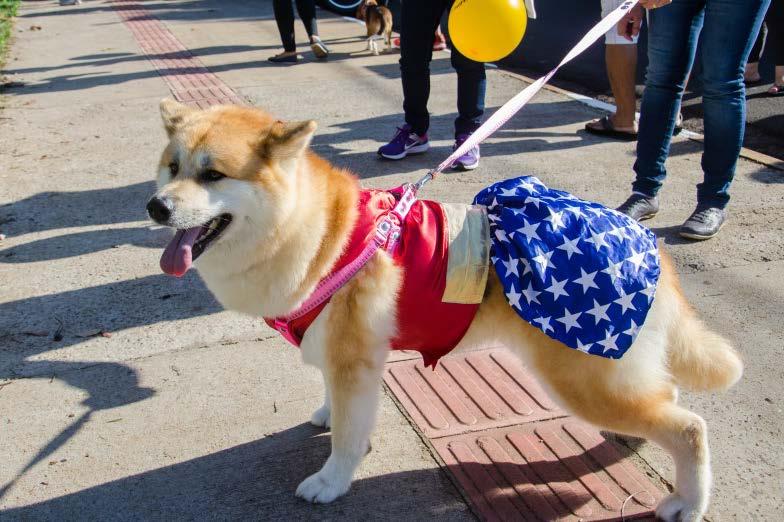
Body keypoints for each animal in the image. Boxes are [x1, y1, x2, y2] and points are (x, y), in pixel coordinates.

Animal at [150, 98, 744, 520]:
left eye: (213, 175)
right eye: (172, 167)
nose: (155, 207)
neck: (323, 236)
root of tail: (644, 240)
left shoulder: (353, 361)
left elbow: (347, 437)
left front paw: (332, 481)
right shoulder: (344, 356)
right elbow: (336, 406)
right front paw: (324, 415)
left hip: (584, 375)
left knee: (690, 428)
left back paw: (688, 504)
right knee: (665, 398)